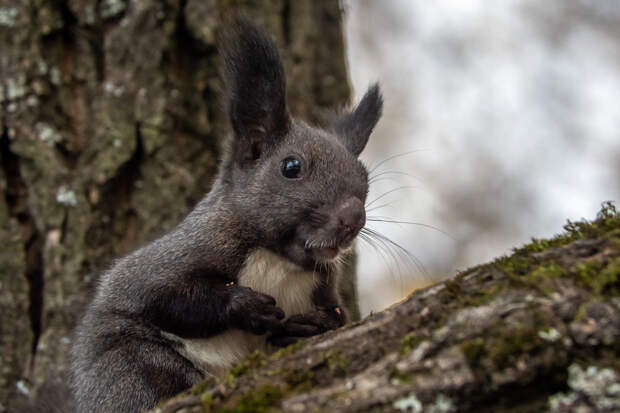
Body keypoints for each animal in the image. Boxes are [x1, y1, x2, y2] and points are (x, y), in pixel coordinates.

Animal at [69, 16, 382, 412]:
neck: (278, 258)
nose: (353, 219)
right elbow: (168, 299)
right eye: (291, 167)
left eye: (365, 179)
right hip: (129, 368)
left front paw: (312, 326)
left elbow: (337, 318)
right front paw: (245, 306)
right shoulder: (168, 263)